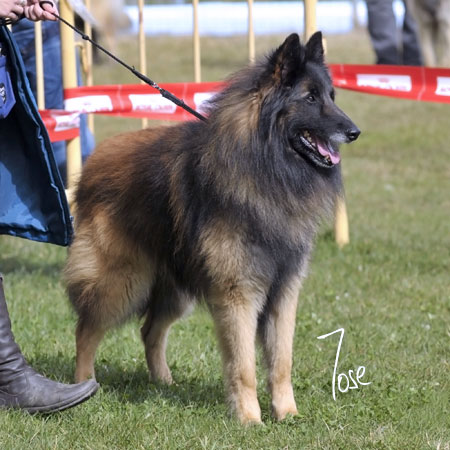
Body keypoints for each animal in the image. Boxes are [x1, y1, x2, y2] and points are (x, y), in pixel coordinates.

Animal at [64, 32, 360, 424]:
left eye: (331, 96)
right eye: (310, 98)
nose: (355, 132)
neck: (266, 166)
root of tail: (91, 165)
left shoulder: (284, 292)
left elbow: (281, 361)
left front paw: (288, 414)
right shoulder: (239, 294)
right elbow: (244, 366)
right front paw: (249, 419)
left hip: (174, 290)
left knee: (150, 331)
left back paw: (164, 383)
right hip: (122, 281)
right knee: (86, 330)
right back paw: (85, 385)